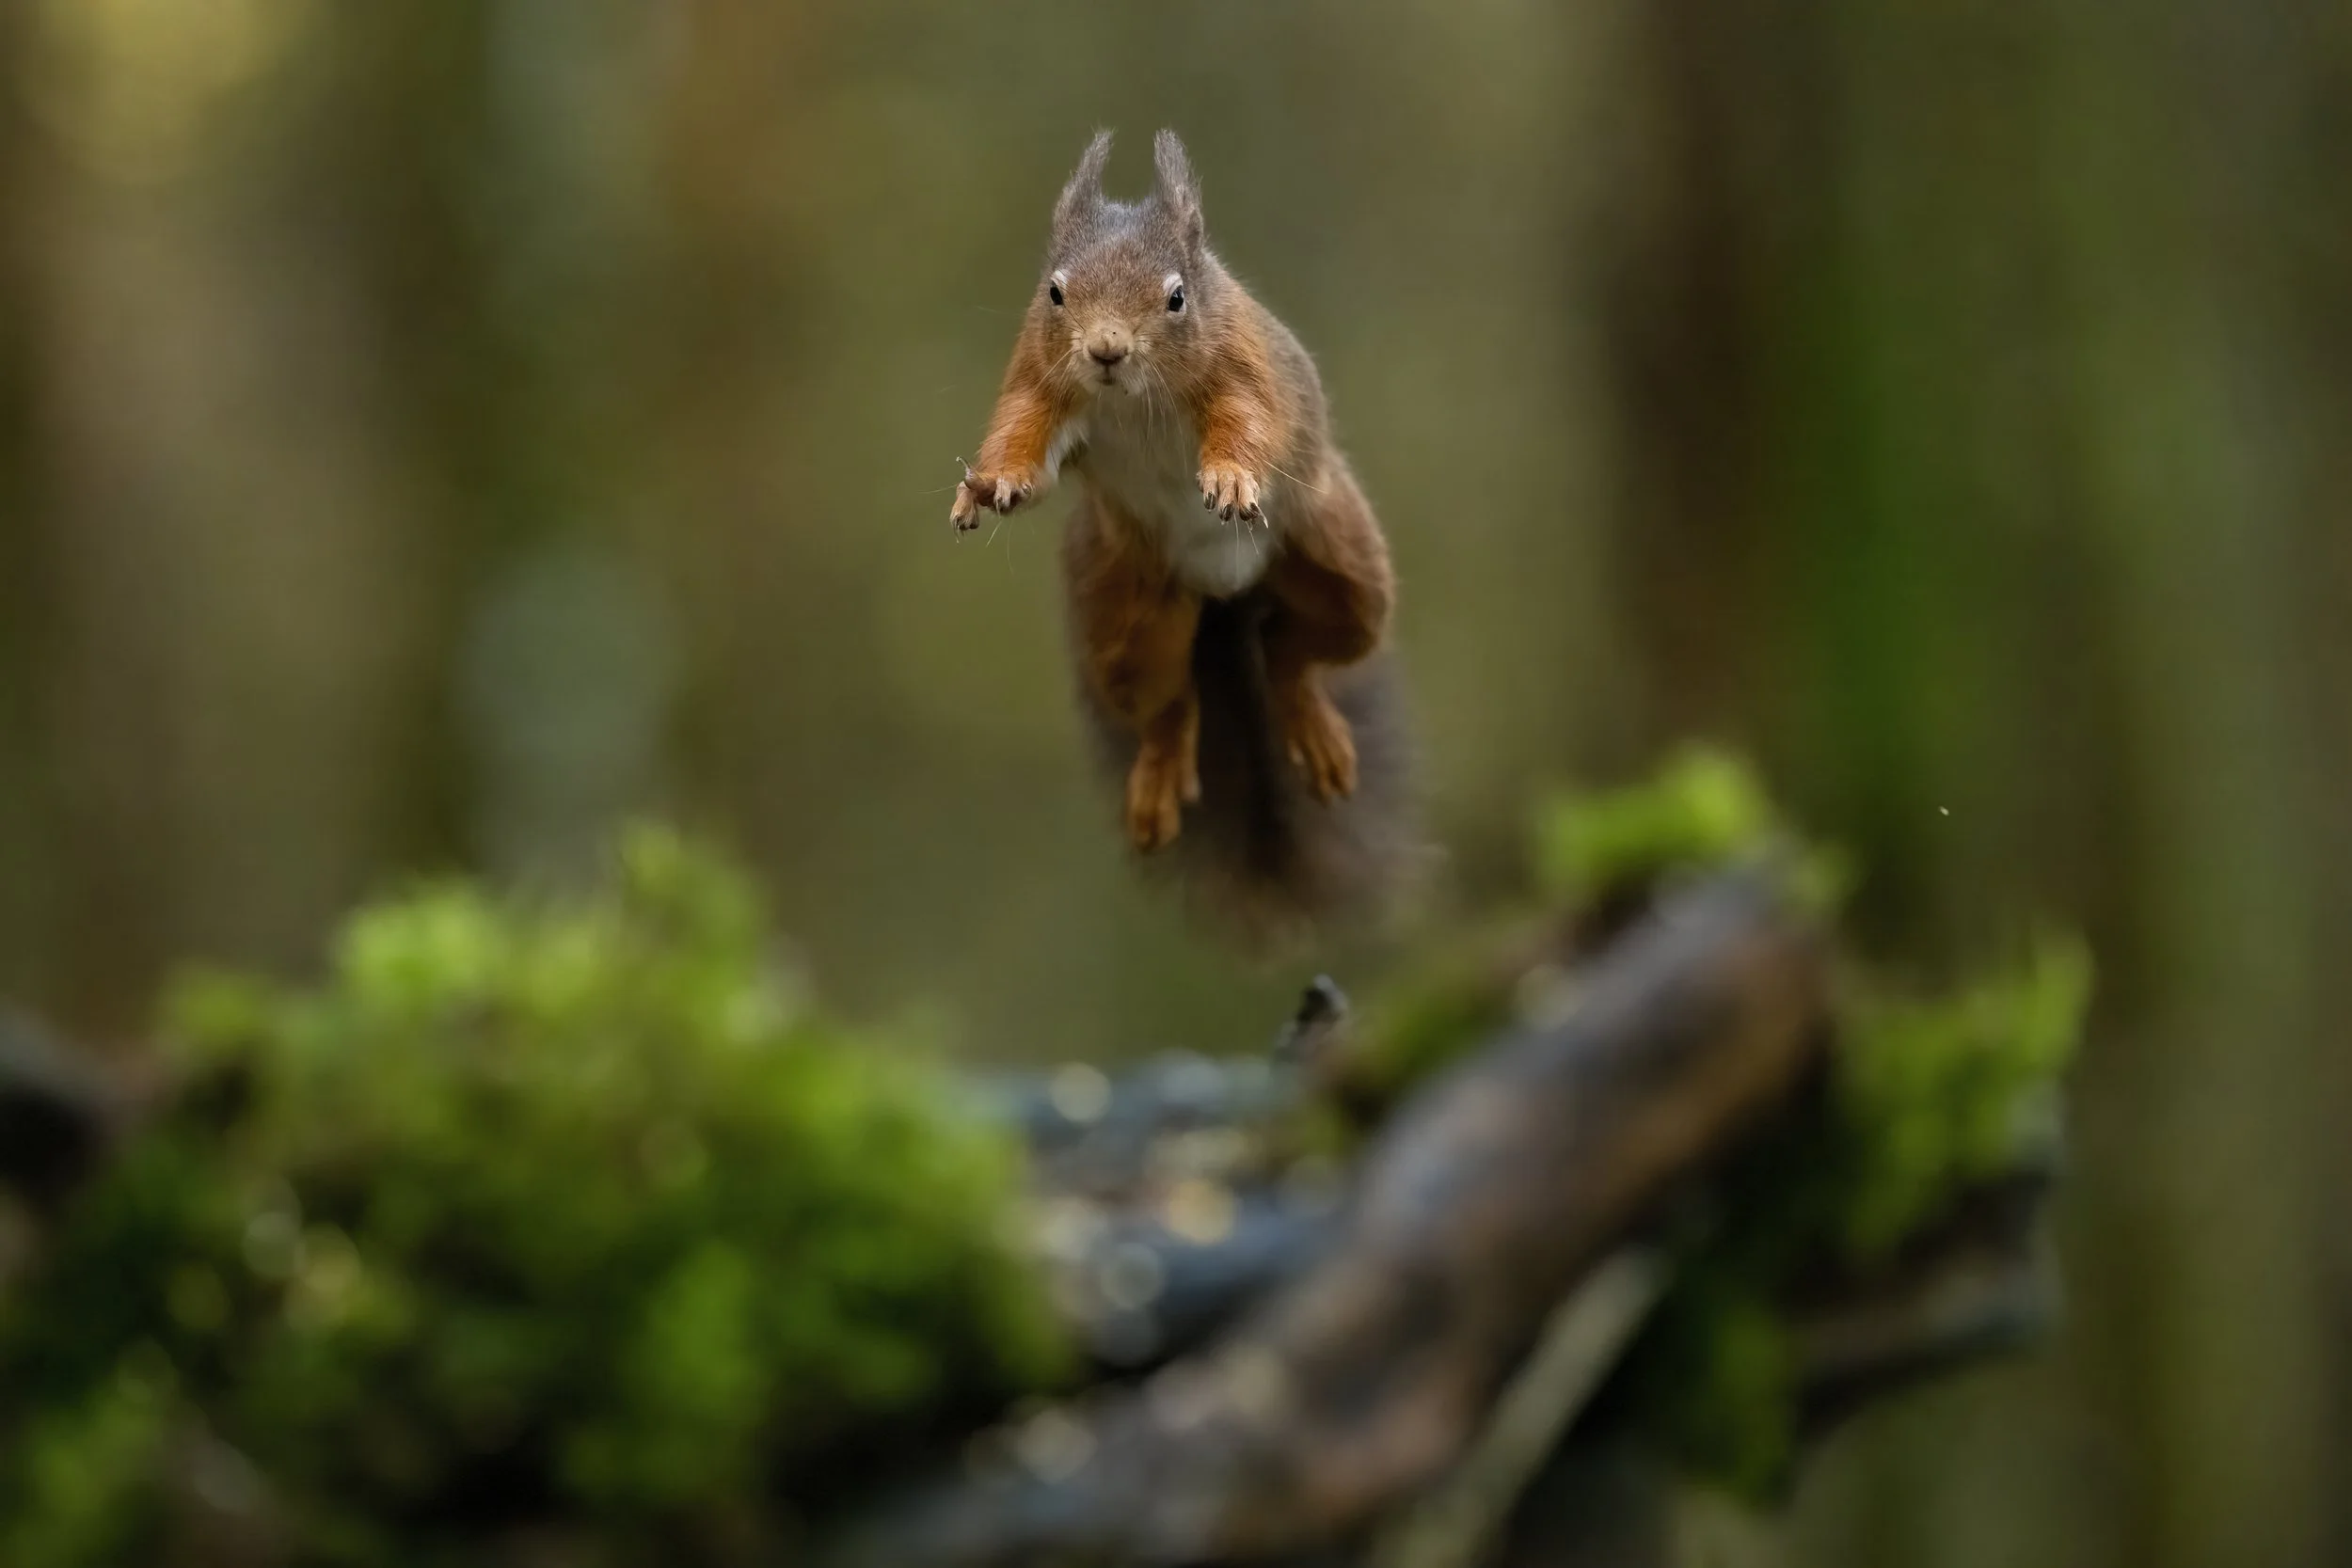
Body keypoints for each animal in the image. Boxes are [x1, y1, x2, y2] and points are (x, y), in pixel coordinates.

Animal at [951, 129, 1417, 940]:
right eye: (1055, 292)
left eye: (1176, 297)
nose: (1107, 350)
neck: (1133, 399)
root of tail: (1225, 591)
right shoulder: (1037, 377)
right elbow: (1021, 435)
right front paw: (991, 484)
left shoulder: (1241, 367)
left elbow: (1249, 422)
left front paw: (1229, 479)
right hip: (1127, 620)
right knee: (1169, 704)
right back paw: (1160, 775)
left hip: (1342, 563)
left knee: (1297, 651)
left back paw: (1312, 726)